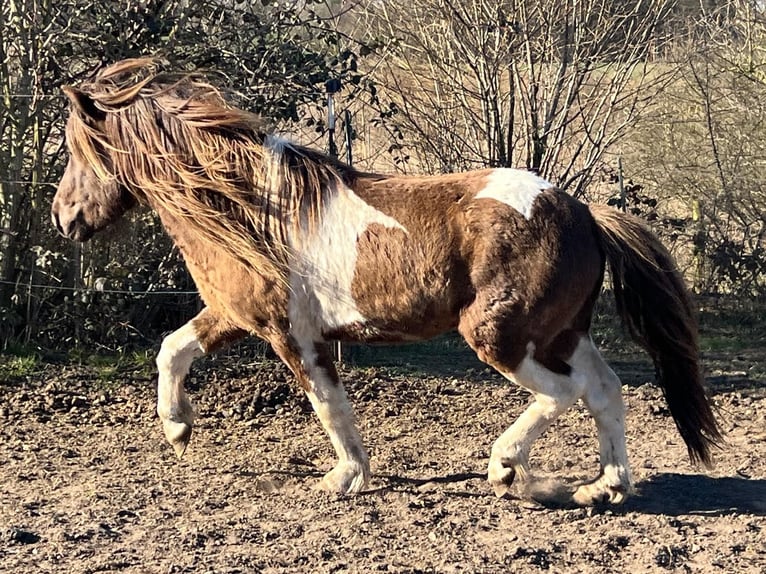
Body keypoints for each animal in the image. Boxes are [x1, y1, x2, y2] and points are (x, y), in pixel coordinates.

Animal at [51, 58, 720, 506]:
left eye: (82, 150)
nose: (64, 218)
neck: (254, 208)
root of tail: (582, 211)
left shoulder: (293, 335)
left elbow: (327, 403)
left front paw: (345, 476)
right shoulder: (235, 315)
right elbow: (172, 349)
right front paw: (178, 430)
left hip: (499, 334)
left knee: (565, 391)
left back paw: (507, 468)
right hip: (559, 331)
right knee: (605, 390)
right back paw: (604, 488)